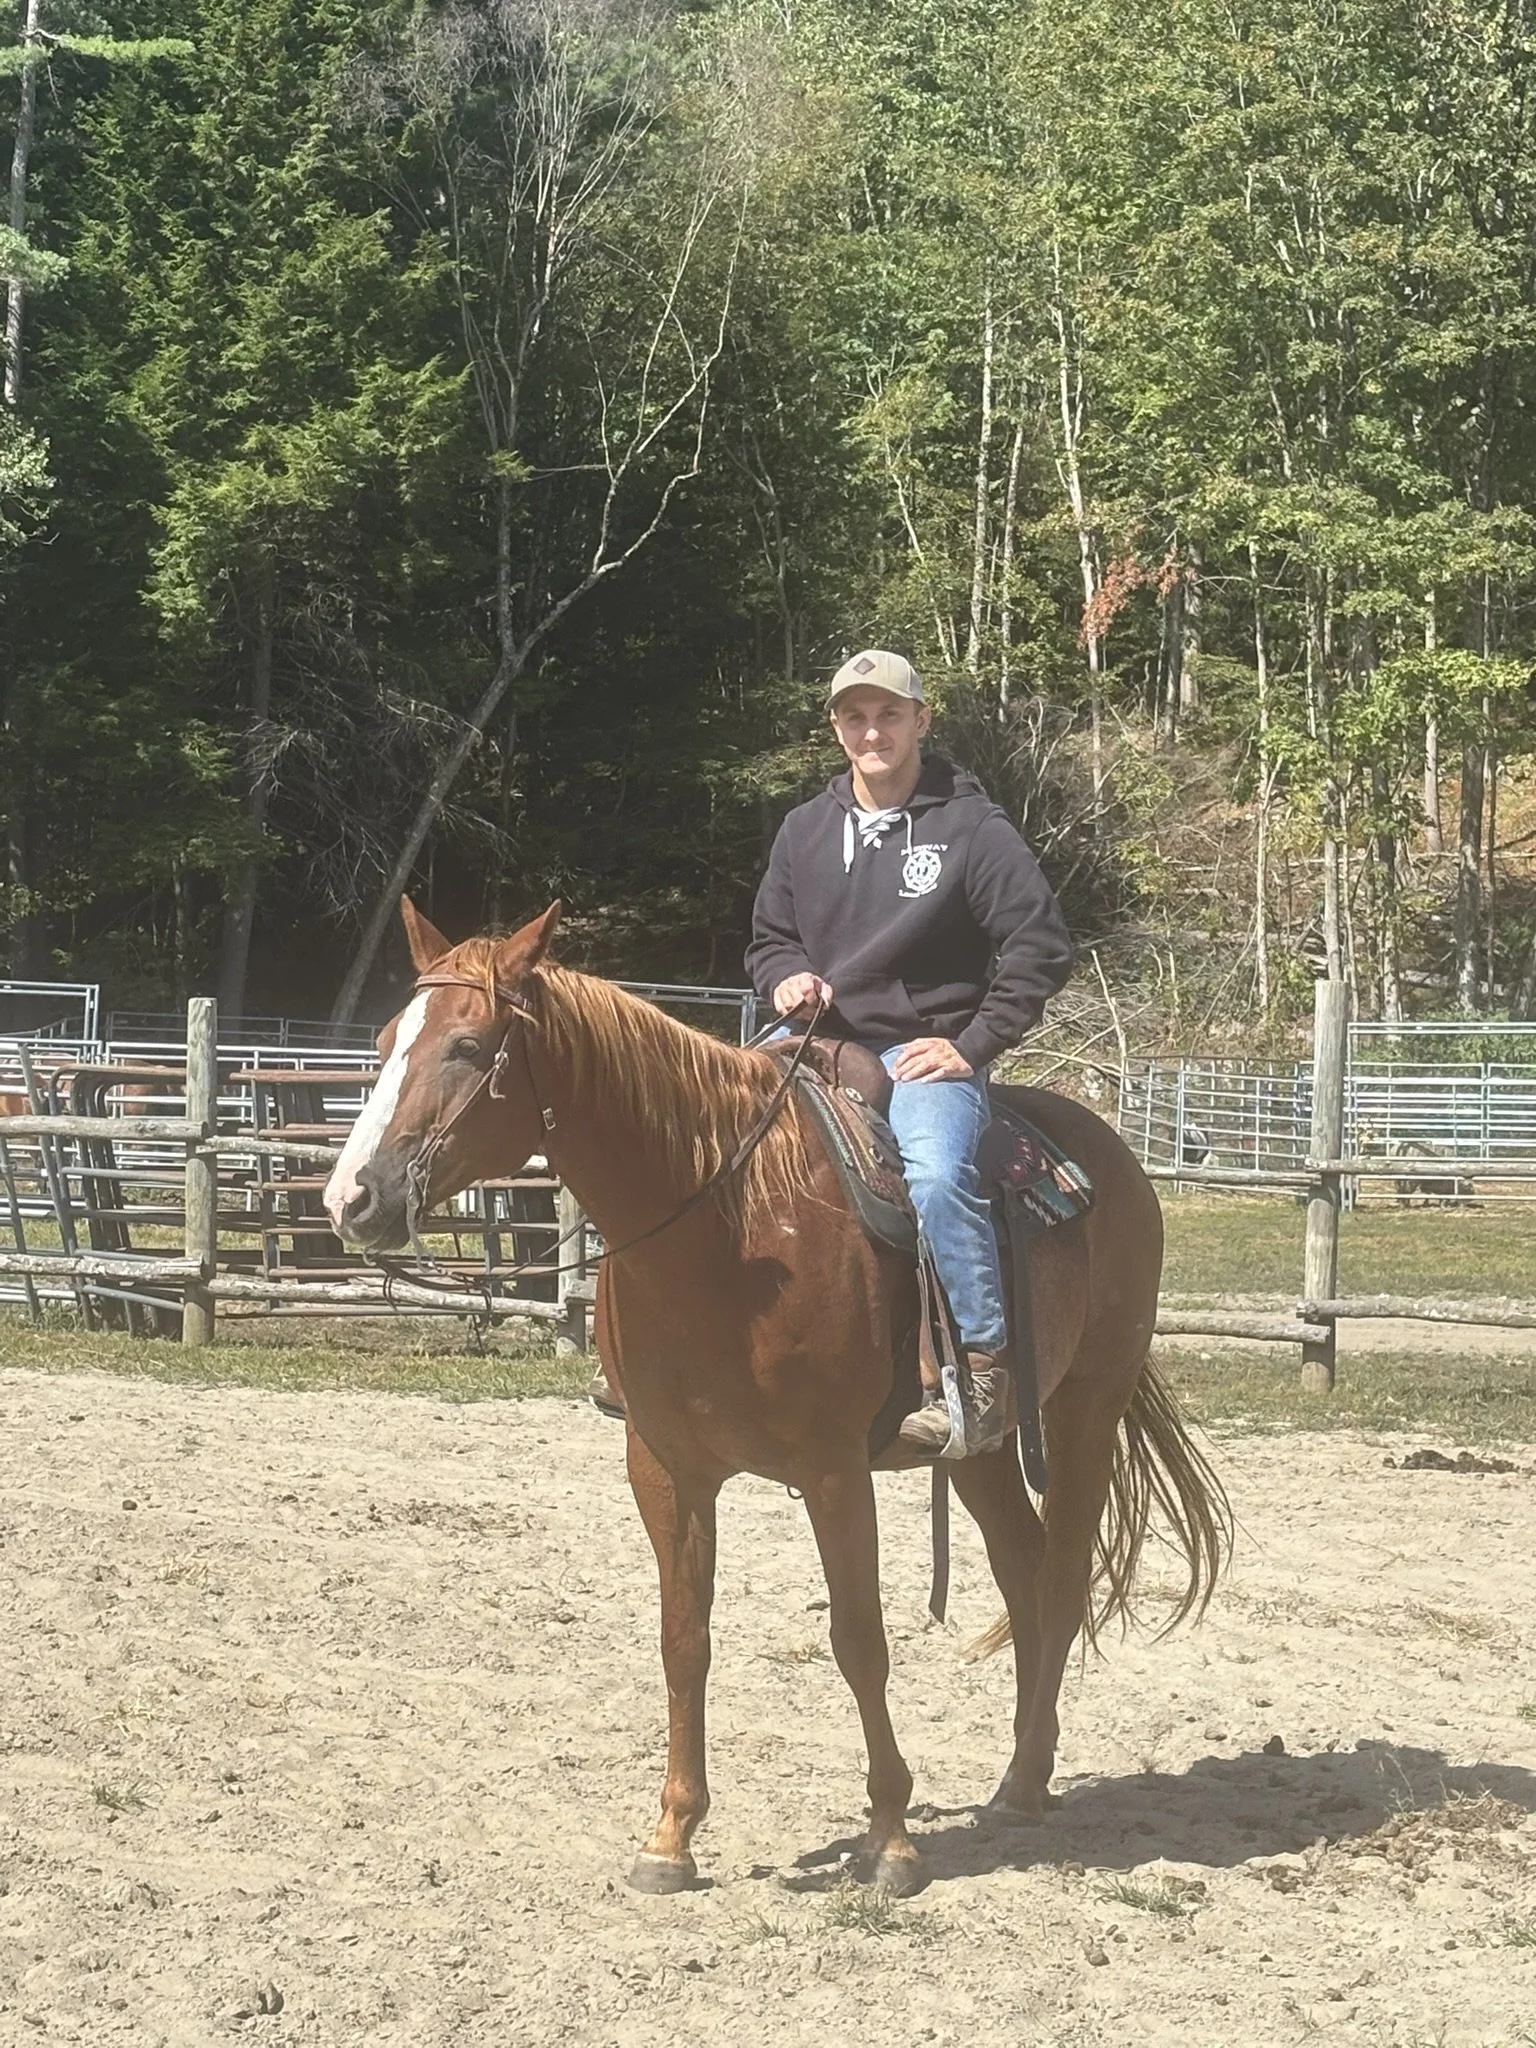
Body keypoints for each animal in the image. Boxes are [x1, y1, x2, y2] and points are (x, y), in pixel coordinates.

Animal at [322, 899, 1230, 1897]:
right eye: (384, 1042)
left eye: (468, 1046)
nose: (351, 1199)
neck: (731, 1224)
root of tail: (1112, 1155)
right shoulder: (665, 1468)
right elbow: (684, 1640)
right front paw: (672, 1837)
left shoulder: (835, 1471)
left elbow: (859, 1641)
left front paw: (891, 1840)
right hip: (980, 1450)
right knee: (1024, 1574)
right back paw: (1019, 1779)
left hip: (1084, 1411)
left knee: (1063, 1580)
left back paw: (1025, 1783)